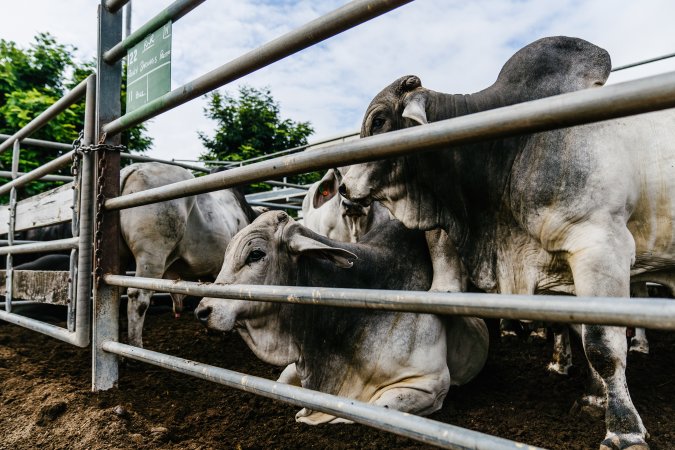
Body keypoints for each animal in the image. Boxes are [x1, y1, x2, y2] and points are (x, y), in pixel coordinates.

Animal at [340, 36, 675, 450]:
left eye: (379, 120)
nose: (343, 187)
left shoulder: (601, 248)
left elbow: (603, 346)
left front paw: (624, 431)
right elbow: (579, 332)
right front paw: (593, 399)